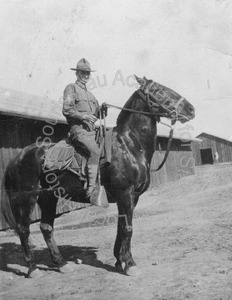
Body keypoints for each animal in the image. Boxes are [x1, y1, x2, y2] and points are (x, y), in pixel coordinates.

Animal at [0, 76, 195, 278]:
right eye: (159, 90)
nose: (190, 109)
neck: (129, 145)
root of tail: (17, 157)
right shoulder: (125, 194)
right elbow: (127, 228)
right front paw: (130, 264)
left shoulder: (132, 198)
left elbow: (120, 227)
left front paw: (119, 260)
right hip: (26, 199)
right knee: (24, 230)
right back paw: (33, 269)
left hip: (48, 197)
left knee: (46, 228)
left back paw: (62, 264)